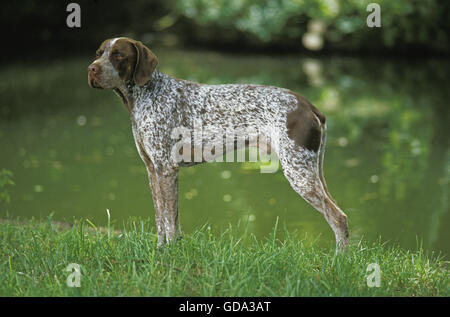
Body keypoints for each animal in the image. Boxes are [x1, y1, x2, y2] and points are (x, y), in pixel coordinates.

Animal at [87, 37, 348, 249]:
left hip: (298, 173)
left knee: (339, 218)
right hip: (311, 171)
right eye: (99, 52)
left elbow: (170, 221)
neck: (147, 95)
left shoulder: (166, 169)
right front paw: (160, 249)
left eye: (119, 55)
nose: (91, 69)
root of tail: (307, 105)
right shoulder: (153, 170)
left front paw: (170, 252)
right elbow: (161, 219)